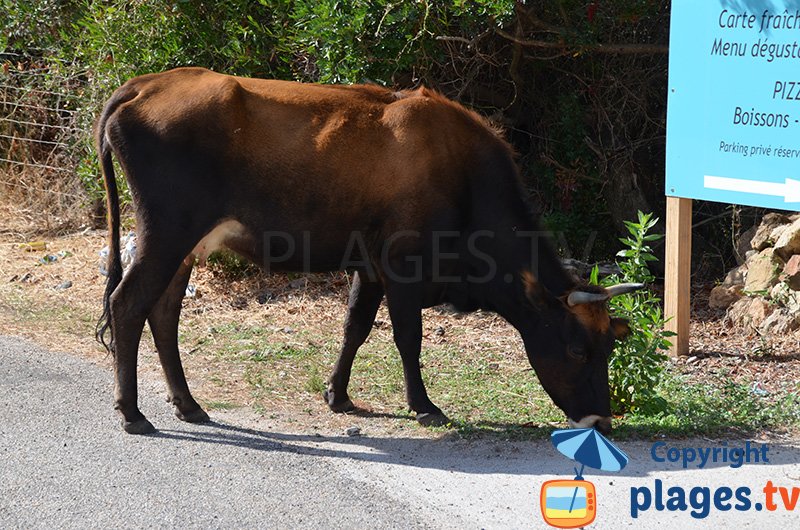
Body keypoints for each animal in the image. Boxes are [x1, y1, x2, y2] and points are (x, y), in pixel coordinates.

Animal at [95, 67, 644, 434]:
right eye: (578, 348)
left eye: (610, 348)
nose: (602, 420)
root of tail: (145, 83)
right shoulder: (403, 268)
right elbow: (407, 337)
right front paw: (424, 405)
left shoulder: (370, 267)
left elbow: (355, 328)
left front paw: (337, 394)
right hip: (167, 232)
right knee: (128, 304)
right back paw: (133, 413)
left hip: (183, 243)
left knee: (163, 312)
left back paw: (188, 404)